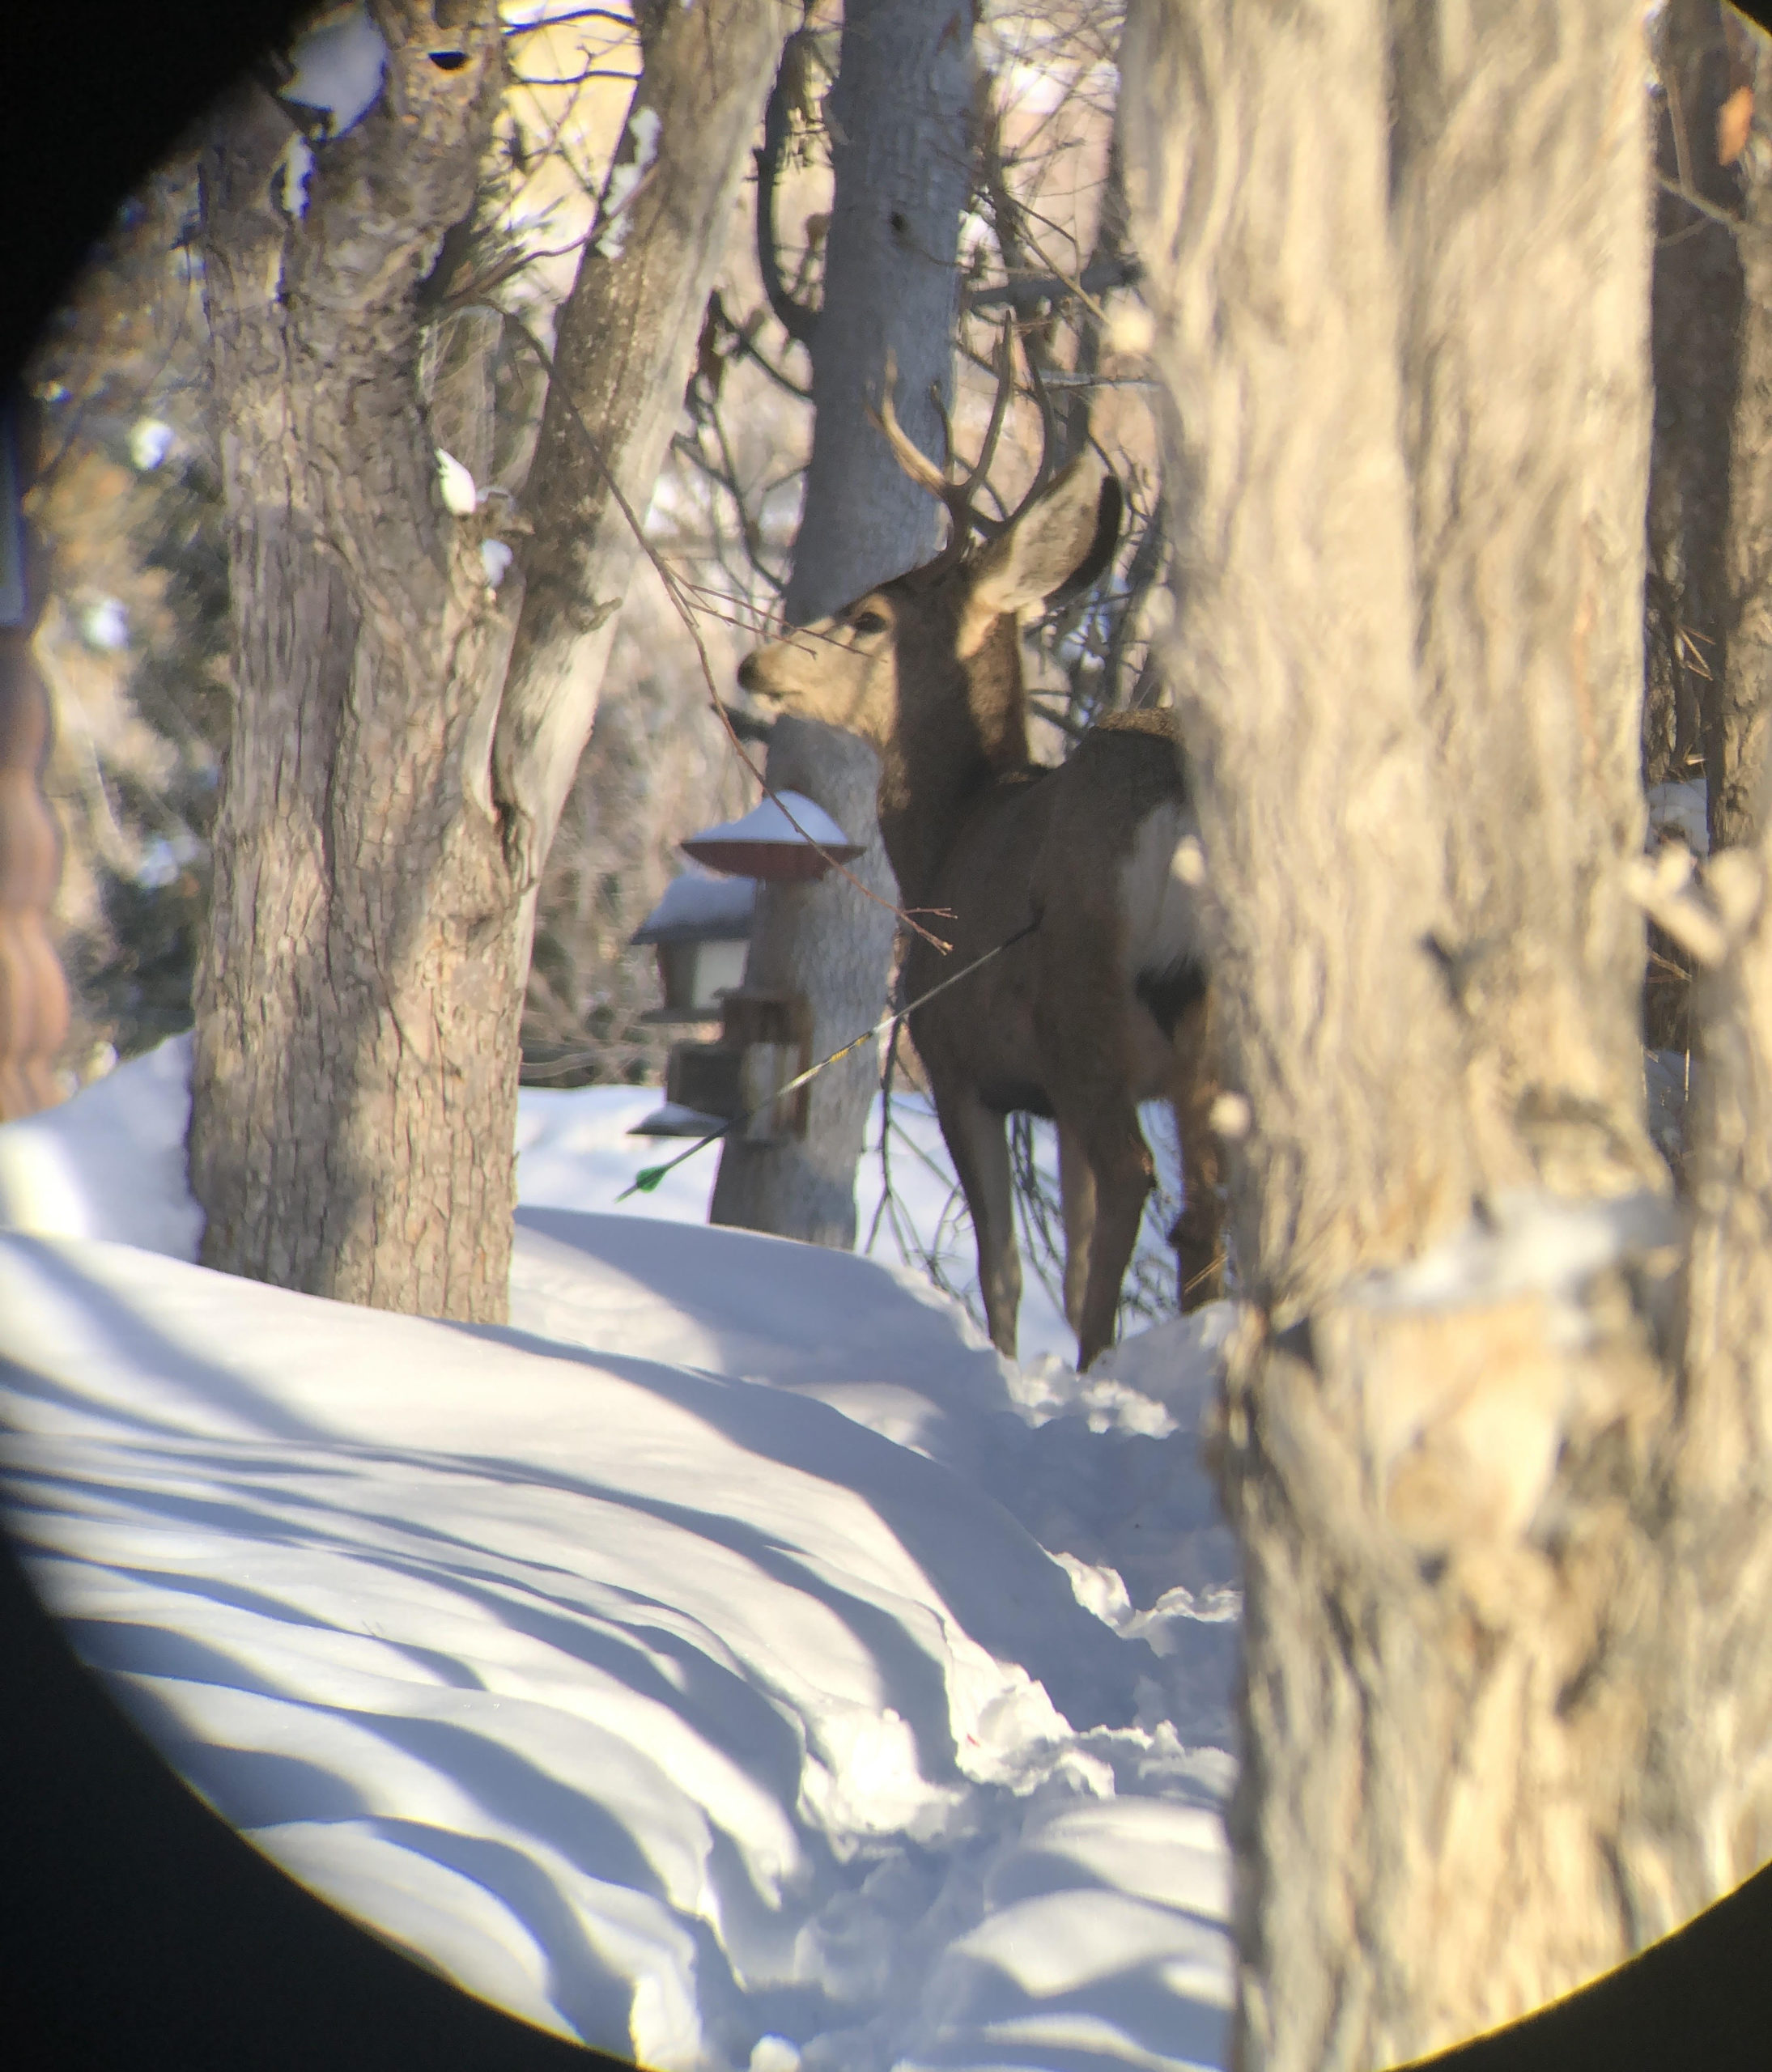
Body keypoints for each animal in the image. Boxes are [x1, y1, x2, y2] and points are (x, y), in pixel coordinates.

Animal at [736, 352, 1222, 1372]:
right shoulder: (1053, 1097)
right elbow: (1067, 1255)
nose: (757, 664)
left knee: (1136, 1179)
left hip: (1082, 1000)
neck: (952, 831)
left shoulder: (961, 1063)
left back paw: (1096, 1370)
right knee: (1209, 1213)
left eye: (869, 617)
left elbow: (1003, 1263)